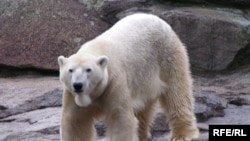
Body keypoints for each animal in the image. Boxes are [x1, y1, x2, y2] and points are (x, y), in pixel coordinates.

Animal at [57, 12, 198, 141]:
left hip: (167, 54)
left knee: (176, 92)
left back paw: (183, 134)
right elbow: (75, 121)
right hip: (144, 77)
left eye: (88, 70)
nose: (78, 85)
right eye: (70, 70)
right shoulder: (72, 95)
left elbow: (120, 118)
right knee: (143, 107)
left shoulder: (114, 82)